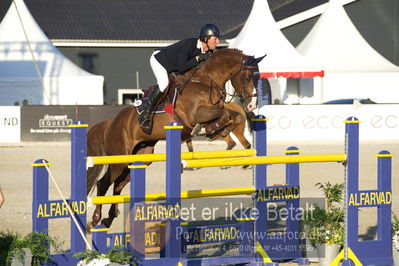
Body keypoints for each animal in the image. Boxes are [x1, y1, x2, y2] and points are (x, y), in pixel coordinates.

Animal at [86, 49, 264, 229]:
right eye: (247, 77)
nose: (251, 106)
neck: (205, 81)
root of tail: (111, 122)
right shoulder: (196, 114)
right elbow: (224, 115)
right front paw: (209, 129)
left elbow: (234, 117)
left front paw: (214, 131)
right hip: (120, 157)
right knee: (103, 183)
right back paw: (95, 219)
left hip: (141, 157)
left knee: (118, 184)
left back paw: (109, 217)